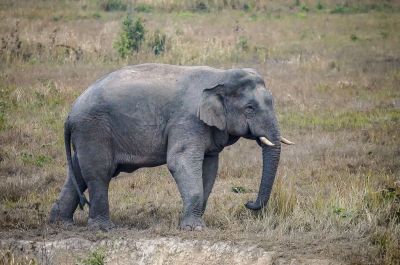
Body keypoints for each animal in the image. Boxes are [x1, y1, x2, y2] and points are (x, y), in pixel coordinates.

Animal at [50, 63, 294, 230]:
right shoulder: (187, 120)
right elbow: (180, 161)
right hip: (93, 128)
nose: (248, 203)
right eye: (250, 108)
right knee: (99, 172)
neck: (220, 75)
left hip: (87, 133)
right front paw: (195, 228)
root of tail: (70, 114)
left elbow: (209, 168)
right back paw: (103, 228)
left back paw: (61, 224)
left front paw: (193, 223)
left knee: (79, 171)